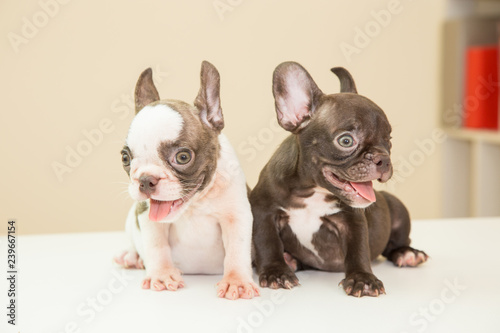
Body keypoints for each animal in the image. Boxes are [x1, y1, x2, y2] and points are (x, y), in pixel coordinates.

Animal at [114, 61, 260, 300]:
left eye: (183, 157)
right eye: (125, 157)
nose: (145, 180)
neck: (194, 205)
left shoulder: (235, 217)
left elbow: (237, 251)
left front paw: (236, 281)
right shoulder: (146, 216)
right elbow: (156, 246)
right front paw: (162, 274)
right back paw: (131, 255)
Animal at [252, 61, 428, 296]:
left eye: (389, 139)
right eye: (346, 140)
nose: (383, 159)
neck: (312, 191)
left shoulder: (352, 221)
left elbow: (358, 250)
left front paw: (363, 278)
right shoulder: (264, 212)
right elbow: (267, 243)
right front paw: (276, 272)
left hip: (398, 207)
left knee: (396, 243)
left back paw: (408, 253)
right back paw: (290, 260)